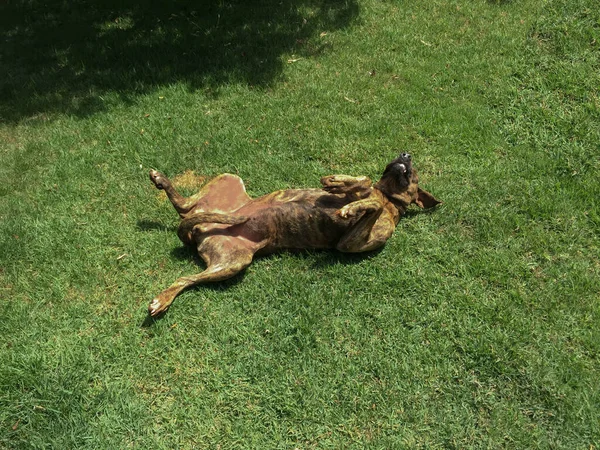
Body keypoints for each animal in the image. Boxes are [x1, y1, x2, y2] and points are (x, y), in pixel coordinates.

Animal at [148, 155, 440, 316]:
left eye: (413, 172)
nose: (405, 153)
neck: (389, 198)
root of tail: (197, 229)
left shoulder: (350, 243)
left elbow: (369, 202)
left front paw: (352, 201)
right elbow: (365, 181)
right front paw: (339, 182)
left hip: (234, 262)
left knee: (185, 276)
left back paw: (163, 299)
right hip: (229, 179)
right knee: (184, 205)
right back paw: (161, 179)